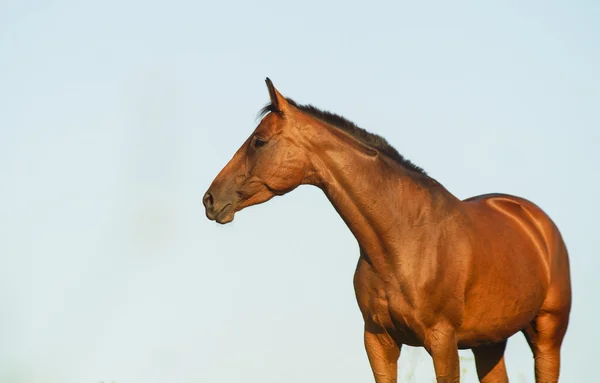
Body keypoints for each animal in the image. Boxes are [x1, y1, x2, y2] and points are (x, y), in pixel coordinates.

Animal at [205, 79, 572, 383]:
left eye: (259, 142)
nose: (210, 199)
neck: (402, 242)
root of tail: (535, 222)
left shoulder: (443, 342)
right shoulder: (379, 341)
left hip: (547, 335)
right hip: (489, 343)